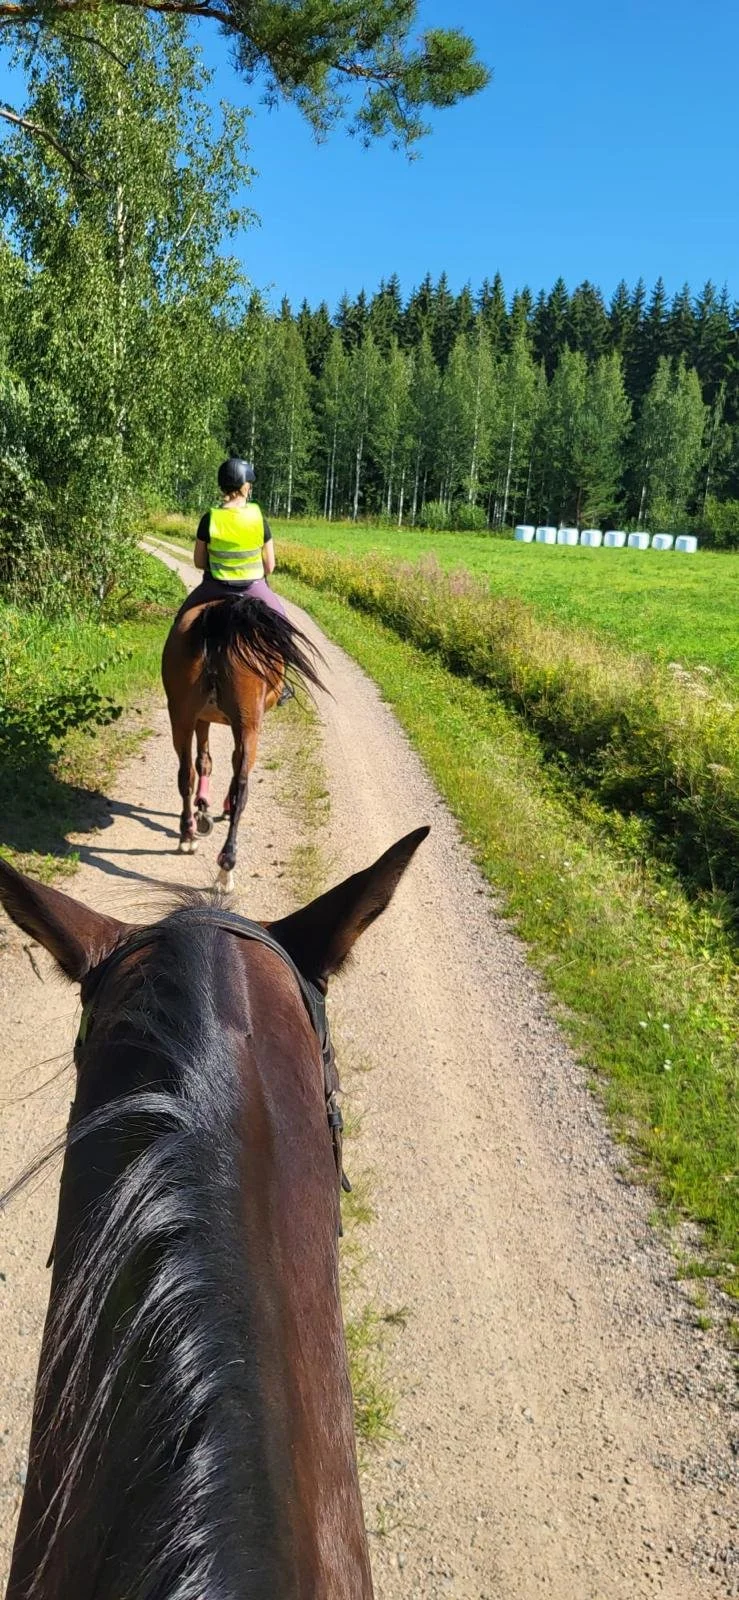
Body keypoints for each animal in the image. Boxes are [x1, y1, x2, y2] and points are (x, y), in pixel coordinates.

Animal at [161, 592, 324, 892]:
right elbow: (227, 765)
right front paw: (212, 808)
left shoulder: (201, 718)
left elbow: (204, 761)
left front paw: (203, 807)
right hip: (248, 726)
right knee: (242, 786)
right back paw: (226, 867)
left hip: (182, 716)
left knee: (186, 774)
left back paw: (188, 836)